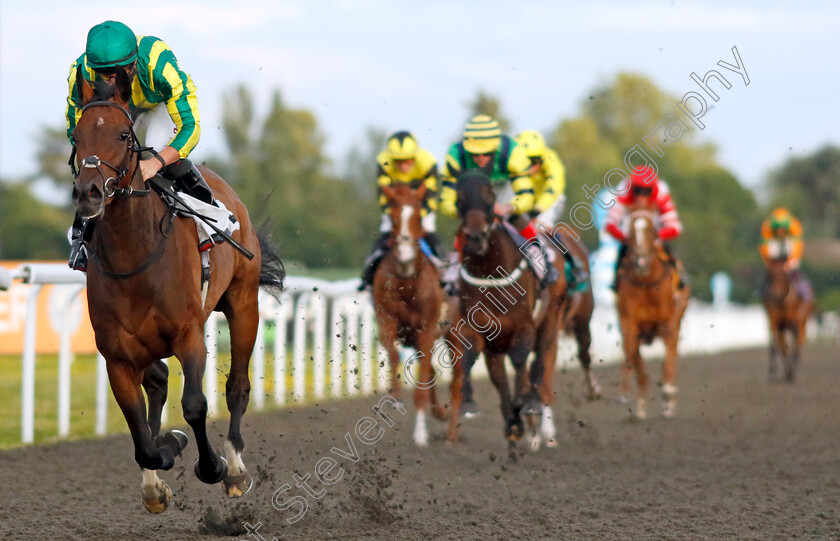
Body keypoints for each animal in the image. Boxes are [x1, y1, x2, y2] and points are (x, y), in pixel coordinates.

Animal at [69, 67, 286, 510]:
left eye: (123, 135)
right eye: (77, 137)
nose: (89, 193)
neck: (135, 256)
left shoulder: (188, 334)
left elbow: (195, 405)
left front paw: (213, 465)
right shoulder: (117, 355)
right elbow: (140, 432)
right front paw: (162, 463)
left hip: (243, 303)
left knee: (237, 386)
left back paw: (234, 467)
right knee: (157, 382)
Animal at [372, 184, 446, 446]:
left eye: (418, 218)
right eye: (393, 218)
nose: (404, 253)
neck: (408, 286)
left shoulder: (426, 330)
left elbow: (422, 383)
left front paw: (420, 434)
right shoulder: (386, 321)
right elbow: (393, 353)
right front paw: (395, 396)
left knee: (429, 369)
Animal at [442, 171, 568, 454]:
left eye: (489, 194)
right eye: (460, 197)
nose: (475, 236)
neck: (490, 270)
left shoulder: (524, 326)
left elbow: (521, 359)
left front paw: (525, 401)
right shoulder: (478, 329)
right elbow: (469, 358)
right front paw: (472, 405)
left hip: (551, 317)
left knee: (540, 360)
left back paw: (532, 405)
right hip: (495, 346)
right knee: (499, 378)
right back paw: (514, 423)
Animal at [616, 210, 688, 418]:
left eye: (650, 230)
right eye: (631, 232)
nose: (641, 260)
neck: (647, 284)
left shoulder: (669, 323)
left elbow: (668, 361)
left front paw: (668, 392)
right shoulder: (629, 322)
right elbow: (632, 356)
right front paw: (627, 395)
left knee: (670, 359)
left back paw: (669, 399)